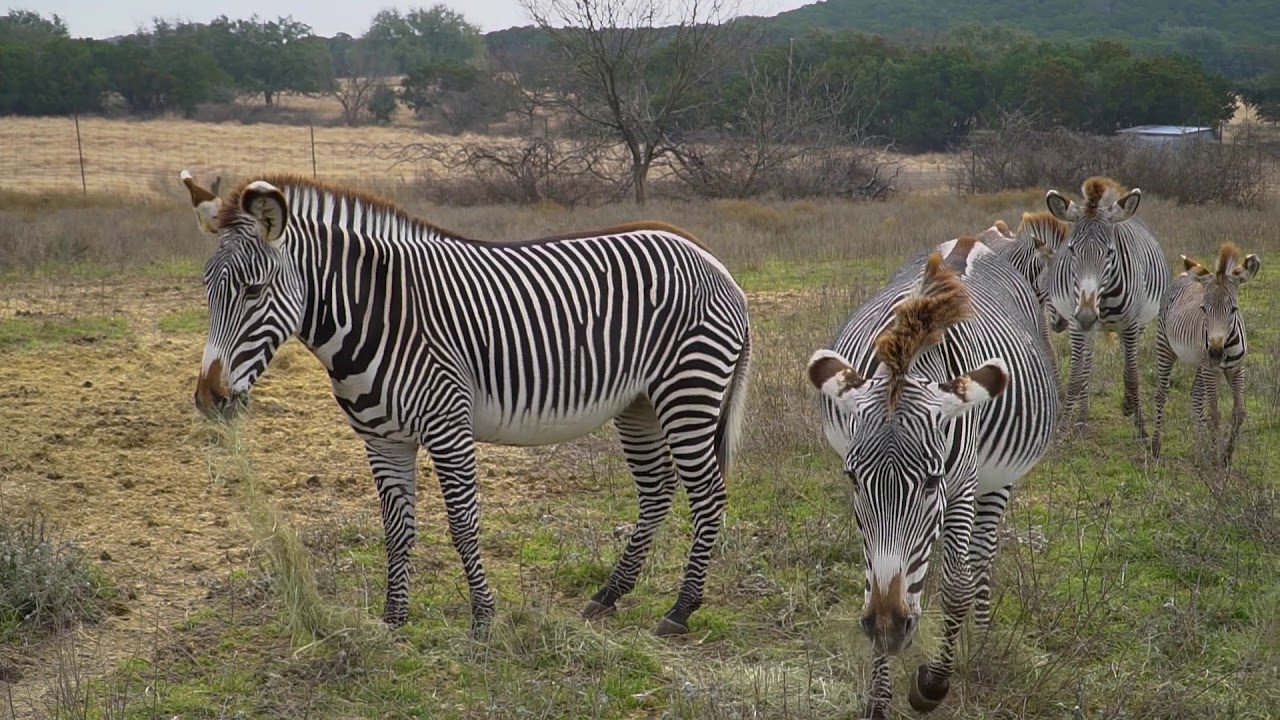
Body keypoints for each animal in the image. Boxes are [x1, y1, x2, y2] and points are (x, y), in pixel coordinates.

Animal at [179, 171, 753, 637]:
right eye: (207, 290)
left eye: (254, 291)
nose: (210, 398)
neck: (379, 316)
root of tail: (710, 258)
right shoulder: (383, 441)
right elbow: (396, 531)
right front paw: (393, 621)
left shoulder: (448, 427)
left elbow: (462, 525)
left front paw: (482, 619)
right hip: (639, 405)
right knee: (657, 491)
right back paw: (610, 595)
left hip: (688, 391)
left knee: (708, 494)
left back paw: (681, 610)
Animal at [808, 236, 1058, 719]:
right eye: (853, 479)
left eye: (929, 481)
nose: (888, 629)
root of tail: (971, 240)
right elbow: (875, 579)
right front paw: (878, 698)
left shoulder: (960, 487)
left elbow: (957, 586)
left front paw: (931, 685)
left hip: (997, 482)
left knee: (981, 556)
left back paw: (978, 641)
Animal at [1046, 176, 1169, 437]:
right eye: (1072, 250)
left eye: (1110, 252)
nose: (1086, 315)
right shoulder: (1076, 325)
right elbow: (1076, 376)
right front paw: (1063, 428)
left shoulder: (1131, 325)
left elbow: (1132, 375)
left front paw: (1141, 428)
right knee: (1087, 366)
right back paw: (1081, 420)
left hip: (1137, 325)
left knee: (1128, 363)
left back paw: (1129, 404)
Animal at [1151, 243, 1260, 465]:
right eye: (1203, 309)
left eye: (1233, 309)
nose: (1216, 352)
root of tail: (1184, 273)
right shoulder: (1212, 370)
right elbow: (1215, 415)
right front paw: (1217, 460)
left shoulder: (1236, 369)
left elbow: (1239, 412)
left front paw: (1225, 456)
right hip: (1166, 347)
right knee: (1161, 394)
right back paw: (1156, 448)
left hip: (1201, 363)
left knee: (1195, 398)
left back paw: (1202, 451)